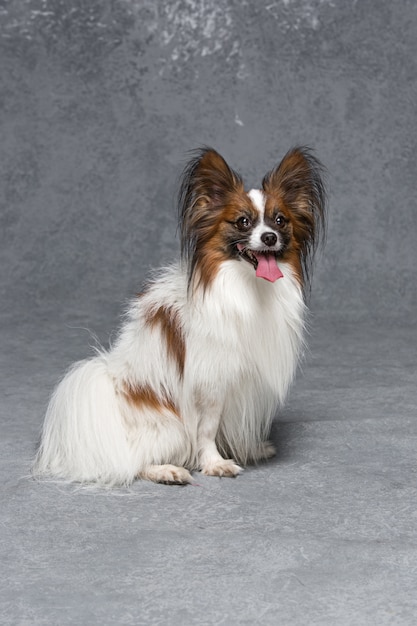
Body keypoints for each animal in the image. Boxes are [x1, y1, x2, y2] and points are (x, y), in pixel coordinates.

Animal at [33, 147, 324, 488]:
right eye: (243, 222)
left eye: (280, 221)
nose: (268, 238)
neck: (247, 289)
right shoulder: (211, 381)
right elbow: (207, 429)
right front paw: (214, 463)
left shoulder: (242, 379)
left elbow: (231, 424)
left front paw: (249, 449)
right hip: (166, 427)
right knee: (130, 464)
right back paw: (167, 471)